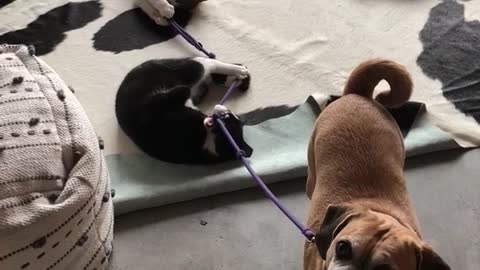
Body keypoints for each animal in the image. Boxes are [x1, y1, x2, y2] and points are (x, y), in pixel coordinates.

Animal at [115, 57, 255, 165]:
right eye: (228, 114)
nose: (224, 108)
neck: (207, 139)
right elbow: (182, 90)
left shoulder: (153, 109)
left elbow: (179, 92)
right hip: (183, 70)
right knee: (206, 63)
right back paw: (240, 73)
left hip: (191, 73)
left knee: (206, 66)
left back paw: (238, 74)